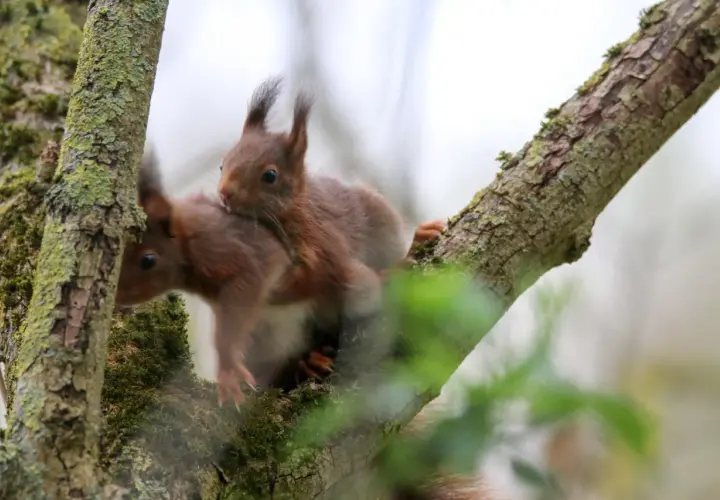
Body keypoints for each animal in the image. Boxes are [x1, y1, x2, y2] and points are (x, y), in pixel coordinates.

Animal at [216, 76, 416, 378]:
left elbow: (314, 275)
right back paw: (306, 361)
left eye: (270, 175)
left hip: (381, 222)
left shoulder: (320, 242)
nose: (225, 193)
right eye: (222, 164)